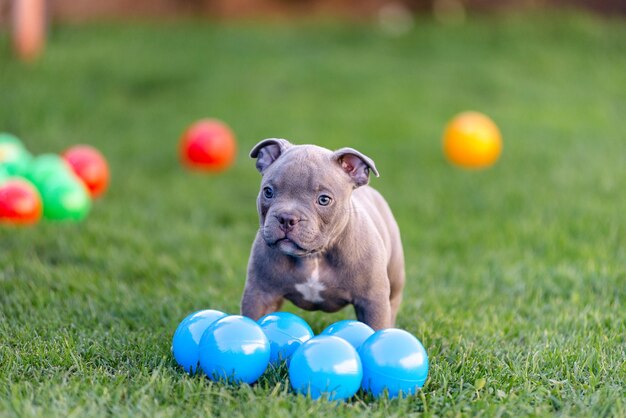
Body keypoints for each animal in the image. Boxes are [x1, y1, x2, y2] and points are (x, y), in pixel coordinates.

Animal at [239, 138, 404, 330]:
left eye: (324, 200)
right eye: (268, 191)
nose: (286, 218)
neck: (314, 256)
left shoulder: (372, 301)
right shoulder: (259, 294)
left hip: (395, 278)